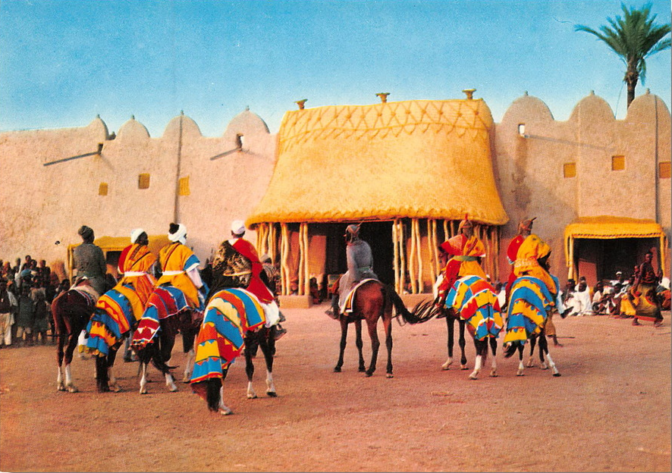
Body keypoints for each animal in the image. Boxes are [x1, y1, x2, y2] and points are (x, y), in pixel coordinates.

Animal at [189, 284, 272, 412]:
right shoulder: (257, 336)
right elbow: (262, 361)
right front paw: (264, 389)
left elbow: (251, 365)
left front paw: (252, 392)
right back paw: (223, 407)